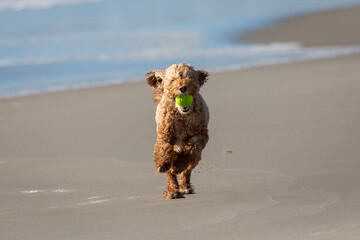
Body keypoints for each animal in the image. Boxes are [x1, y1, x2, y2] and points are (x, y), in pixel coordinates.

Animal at [146, 62, 210, 199]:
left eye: (189, 77)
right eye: (173, 80)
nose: (183, 88)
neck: (181, 115)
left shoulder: (200, 135)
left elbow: (192, 148)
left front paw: (179, 164)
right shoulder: (165, 135)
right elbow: (163, 149)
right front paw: (162, 164)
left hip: (195, 157)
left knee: (187, 169)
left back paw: (184, 186)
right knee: (170, 172)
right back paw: (173, 190)